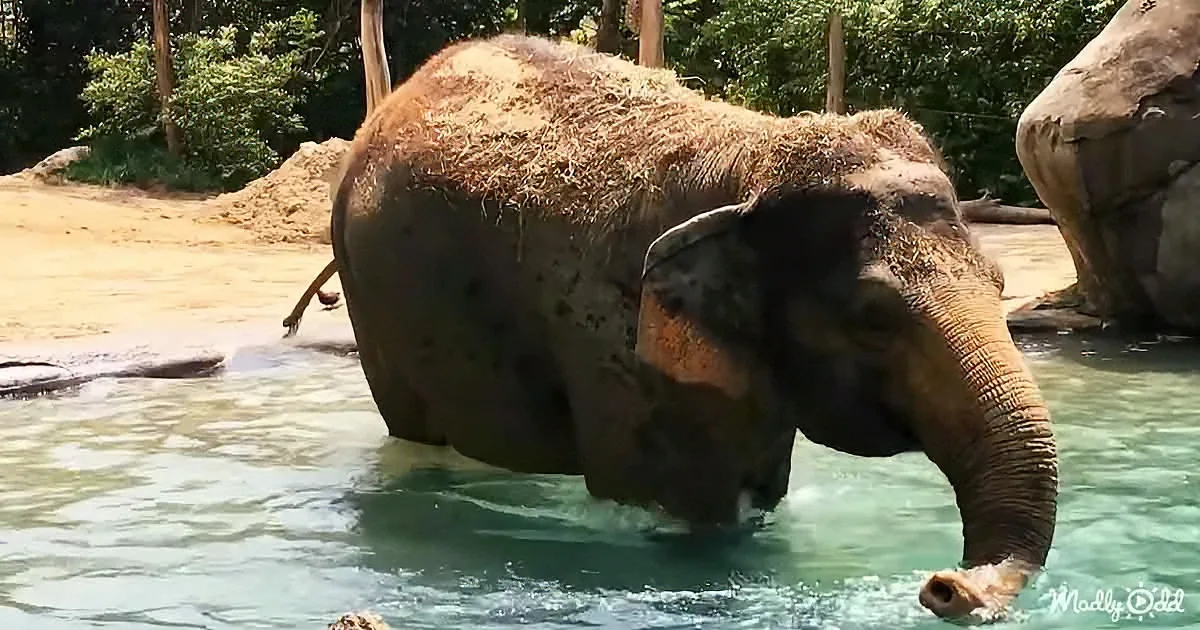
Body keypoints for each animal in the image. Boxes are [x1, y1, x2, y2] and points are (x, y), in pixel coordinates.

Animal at [329, 34, 1058, 624]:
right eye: (873, 319)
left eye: (1000, 285)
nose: (944, 586)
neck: (751, 159)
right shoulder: (613, 334)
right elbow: (679, 503)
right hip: (375, 309)